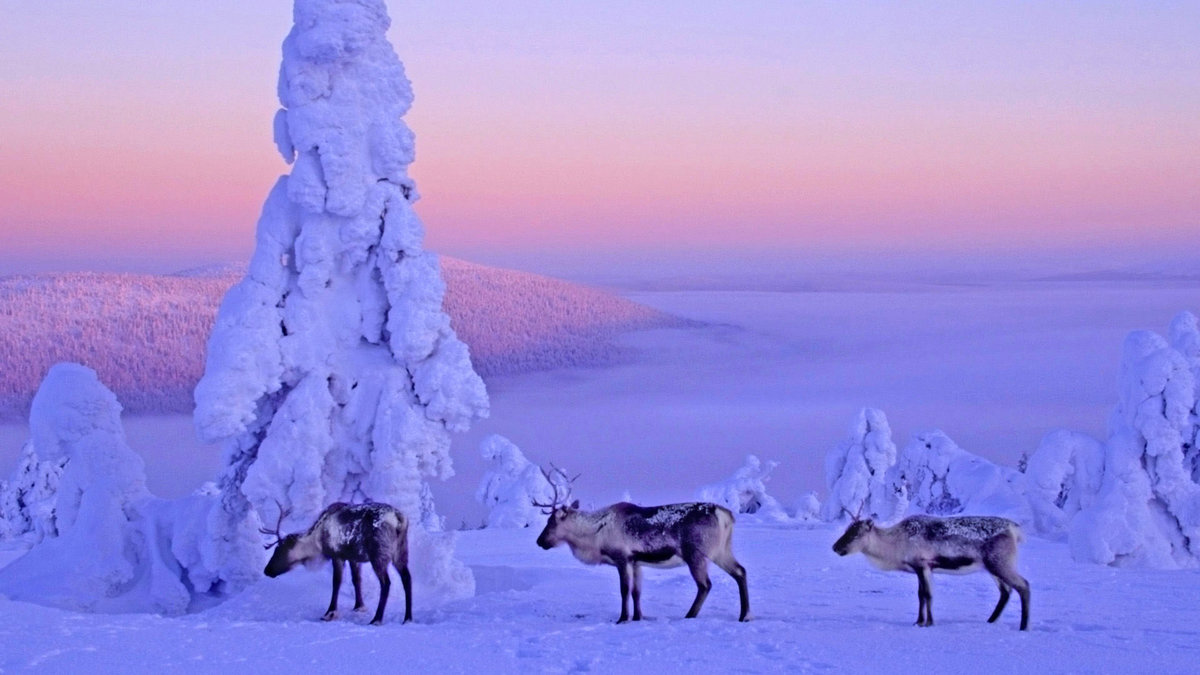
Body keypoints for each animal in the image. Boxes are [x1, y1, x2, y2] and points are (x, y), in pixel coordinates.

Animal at [261, 501, 413, 625]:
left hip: (379, 554)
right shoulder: (354, 558)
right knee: (406, 578)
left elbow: (336, 582)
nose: (266, 570)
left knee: (386, 583)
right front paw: (359, 606)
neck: (317, 540)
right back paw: (407, 618)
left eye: (278, 550)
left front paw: (330, 613)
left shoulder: (337, 555)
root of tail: (399, 520)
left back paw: (376, 619)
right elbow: (356, 580)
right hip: (401, 551)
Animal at [533, 466, 750, 623]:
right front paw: (638, 617)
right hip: (722, 550)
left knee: (705, 585)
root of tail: (726, 515)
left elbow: (624, 590)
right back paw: (744, 615)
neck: (594, 537)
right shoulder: (636, 562)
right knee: (741, 571)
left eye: (551, 522)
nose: (539, 541)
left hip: (695, 554)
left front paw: (622, 619)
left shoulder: (622, 558)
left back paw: (689, 615)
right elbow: (637, 592)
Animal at [832, 514, 1031, 630]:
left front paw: (929, 623)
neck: (895, 545)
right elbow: (920, 595)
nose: (835, 547)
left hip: (1000, 564)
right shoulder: (920, 569)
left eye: (856, 534)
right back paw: (990, 621)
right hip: (992, 567)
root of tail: (1015, 530)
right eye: (846, 530)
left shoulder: (923, 565)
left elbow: (927, 595)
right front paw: (918, 621)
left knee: (1024, 586)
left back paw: (1023, 626)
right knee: (1006, 591)